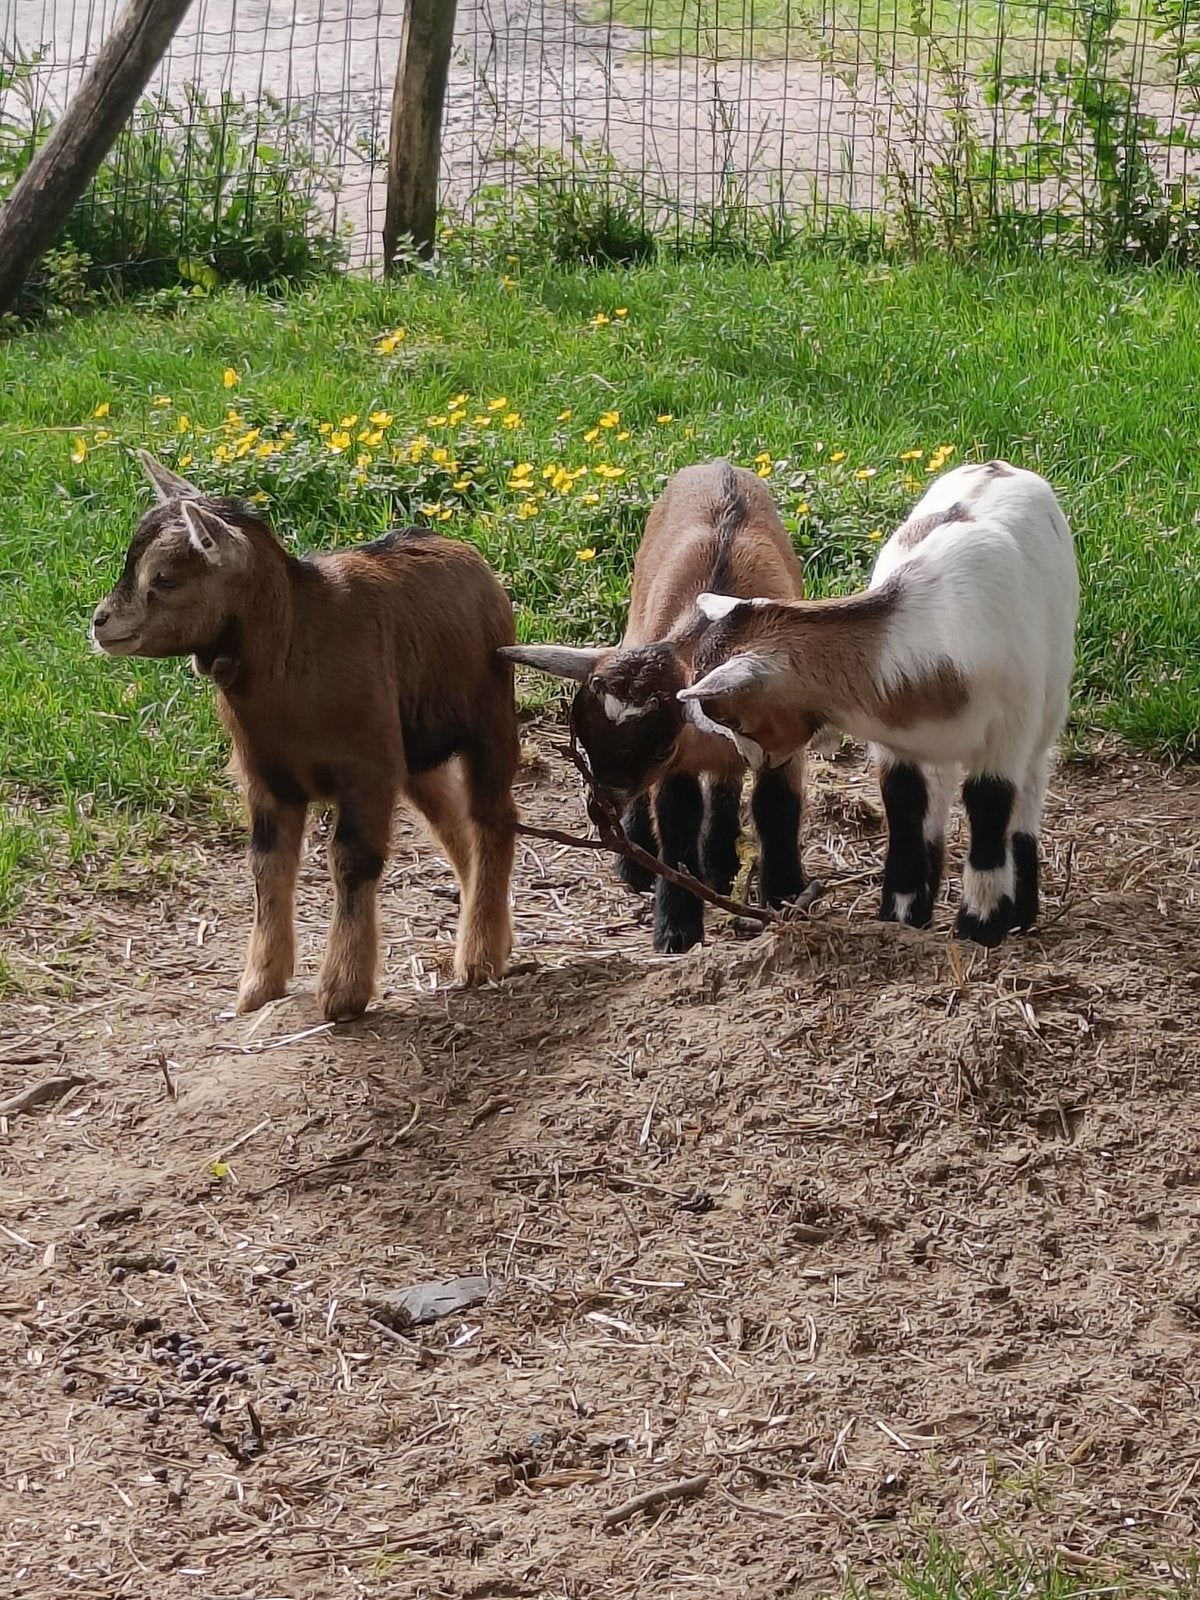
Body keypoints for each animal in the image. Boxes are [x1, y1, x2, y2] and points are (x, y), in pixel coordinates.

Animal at [91, 451, 519, 1020]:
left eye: (164, 577)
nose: (100, 622)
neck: (295, 645)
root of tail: (467, 554)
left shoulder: (366, 767)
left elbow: (352, 860)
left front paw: (342, 991)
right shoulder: (266, 776)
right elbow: (267, 866)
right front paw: (259, 986)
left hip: (490, 717)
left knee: (493, 819)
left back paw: (480, 958)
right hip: (413, 752)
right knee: (454, 824)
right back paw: (490, 938)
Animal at [499, 459, 808, 954]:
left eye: (659, 747)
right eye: (584, 743)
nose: (601, 811)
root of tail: (718, 465)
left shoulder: (779, 744)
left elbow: (775, 806)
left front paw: (784, 896)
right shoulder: (681, 762)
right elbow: (677, 821)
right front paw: (676, 927)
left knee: (726, 782)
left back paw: (719, 863)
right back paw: (642, 861)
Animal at [677, 459, 1079, 947]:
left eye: (728, 715)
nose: (754, 758)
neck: (930, 626)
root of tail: (997, 465)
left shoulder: (1007, 732)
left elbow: (989, 802)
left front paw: (980, 925)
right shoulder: (896, 742)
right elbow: (903, 804)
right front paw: (901, 914)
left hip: (1048, 697)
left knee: (1029, 787)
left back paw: (1021, 908)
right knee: (936, 797)